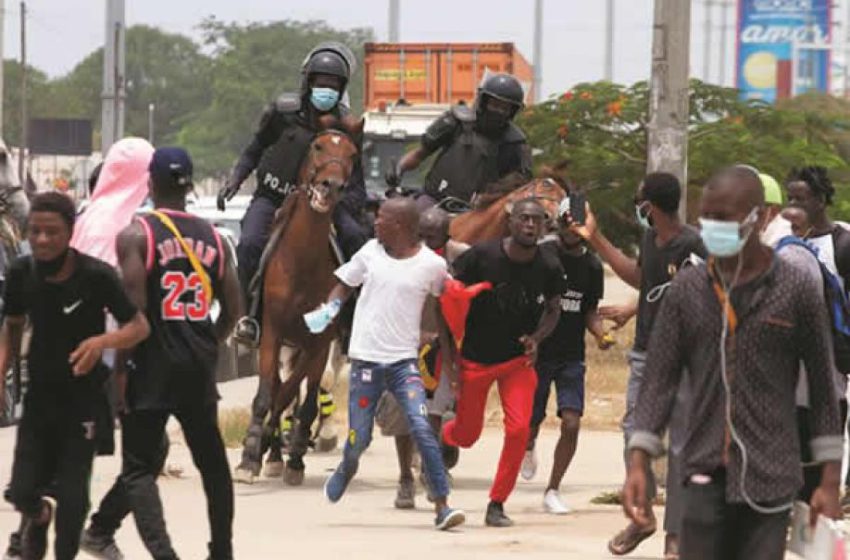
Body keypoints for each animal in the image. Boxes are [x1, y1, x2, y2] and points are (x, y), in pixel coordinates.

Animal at [234, 123, 362, 486]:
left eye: (352, 154)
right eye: (317, 147)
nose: (331, 186)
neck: (302, 262)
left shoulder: (318, 343)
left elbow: (296, 398)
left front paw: (292, 458)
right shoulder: (272, 334)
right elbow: (268, 395)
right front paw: (251, 455)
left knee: (295, 394)